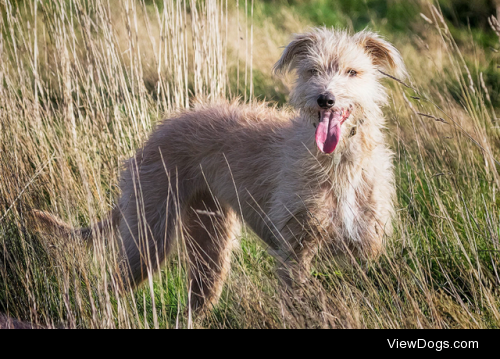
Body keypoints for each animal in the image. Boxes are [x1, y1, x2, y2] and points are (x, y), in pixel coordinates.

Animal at [34, 28, 406, 314]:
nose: (325, 99)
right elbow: (296, 299)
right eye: (312, 71)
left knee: (193, 302)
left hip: (208, 244)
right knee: (111, 285)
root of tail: (155, 134)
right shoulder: (295, 250)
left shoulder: (364, 247)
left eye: (352, 72)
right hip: (149, 238)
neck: (339, 161)